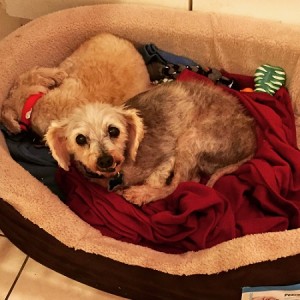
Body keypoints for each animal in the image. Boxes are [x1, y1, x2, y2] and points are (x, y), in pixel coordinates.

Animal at [45, 81, 256, 205]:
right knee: (192, 179)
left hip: (191, 139)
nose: (105, 160)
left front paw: (143, 191)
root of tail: (252, 136)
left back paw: (141, 194)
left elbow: (159, 181)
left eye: (114, 130)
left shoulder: (168, 157)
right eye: (80, 139)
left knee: (178, 184)